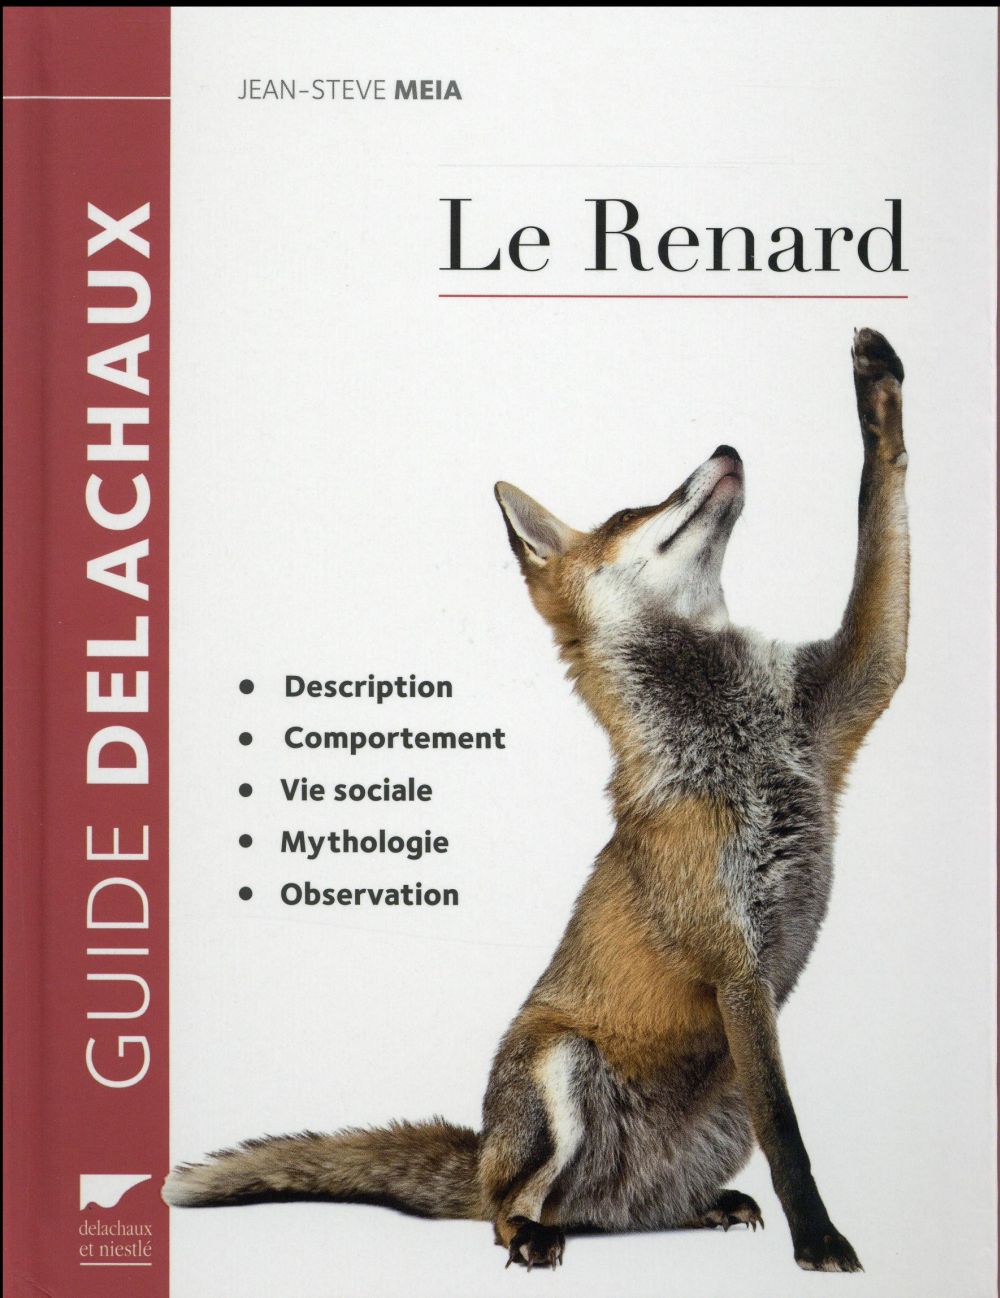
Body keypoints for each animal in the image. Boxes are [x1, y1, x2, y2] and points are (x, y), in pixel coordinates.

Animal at [163, 327, 909, 1275]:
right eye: (634, 509)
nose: (727, 449)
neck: (729, 727)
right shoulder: (734, 962)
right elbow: (792, 1138)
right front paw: (819, 1240)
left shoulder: (850, 691)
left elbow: (881, 507)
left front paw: (878, 386)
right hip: (558, 1067)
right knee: (505, 1204)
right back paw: (529, 1234)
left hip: (712, 1116)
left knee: (621, 1210)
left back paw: (691, 1208)